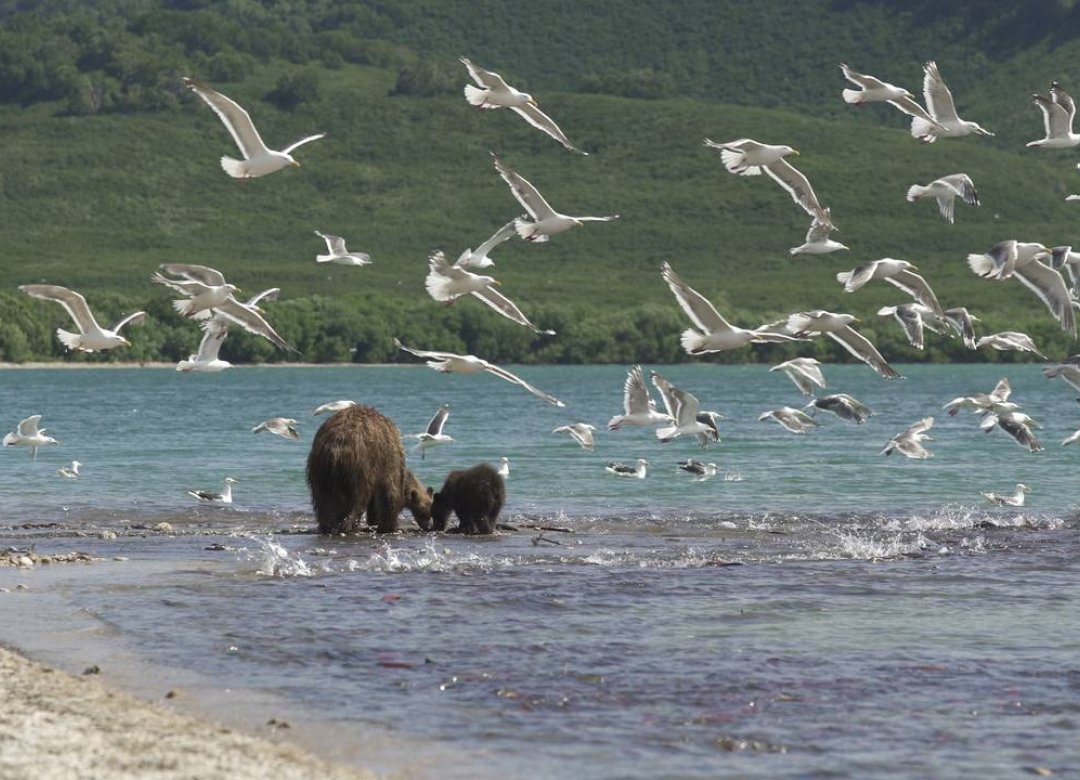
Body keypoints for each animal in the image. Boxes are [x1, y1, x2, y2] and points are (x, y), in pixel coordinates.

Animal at [306, 404, 432, 534]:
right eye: (426, 511)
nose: (428, 526)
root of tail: (337, 446)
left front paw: (374, 520)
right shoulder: (389, 460)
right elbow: (389, 495)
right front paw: (389, 525)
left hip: (320, 469)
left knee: (322, 499)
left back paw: (327, 525)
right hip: (360, 466)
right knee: (358, 497)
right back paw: (349, 525)